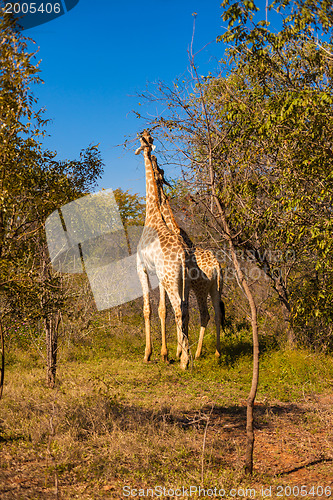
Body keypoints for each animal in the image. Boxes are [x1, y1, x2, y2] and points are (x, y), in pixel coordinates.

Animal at [151, 155, 226, 360]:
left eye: (159, 171)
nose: (153, 158)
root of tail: (217, 266)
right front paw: (178, 350)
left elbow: (172, 311)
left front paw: (176, 351)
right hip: (216, 288)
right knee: (217, 313)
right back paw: (217, 352)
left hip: (200, 288)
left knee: (204, 314)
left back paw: (199, 353)